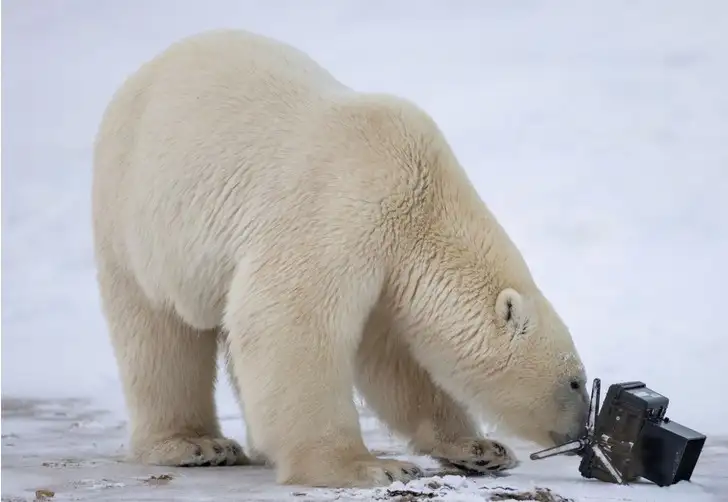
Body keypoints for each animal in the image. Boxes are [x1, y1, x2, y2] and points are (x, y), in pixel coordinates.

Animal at [92, 28, 592, 486]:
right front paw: (368, 466)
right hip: (135, 211)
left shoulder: (389, 271)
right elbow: (288, 320)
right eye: (575, 380)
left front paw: (480, 448)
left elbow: (395, 361)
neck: (423, 197)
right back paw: (196, 444)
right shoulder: (343, 210)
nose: (581, 430)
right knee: (157, 334)